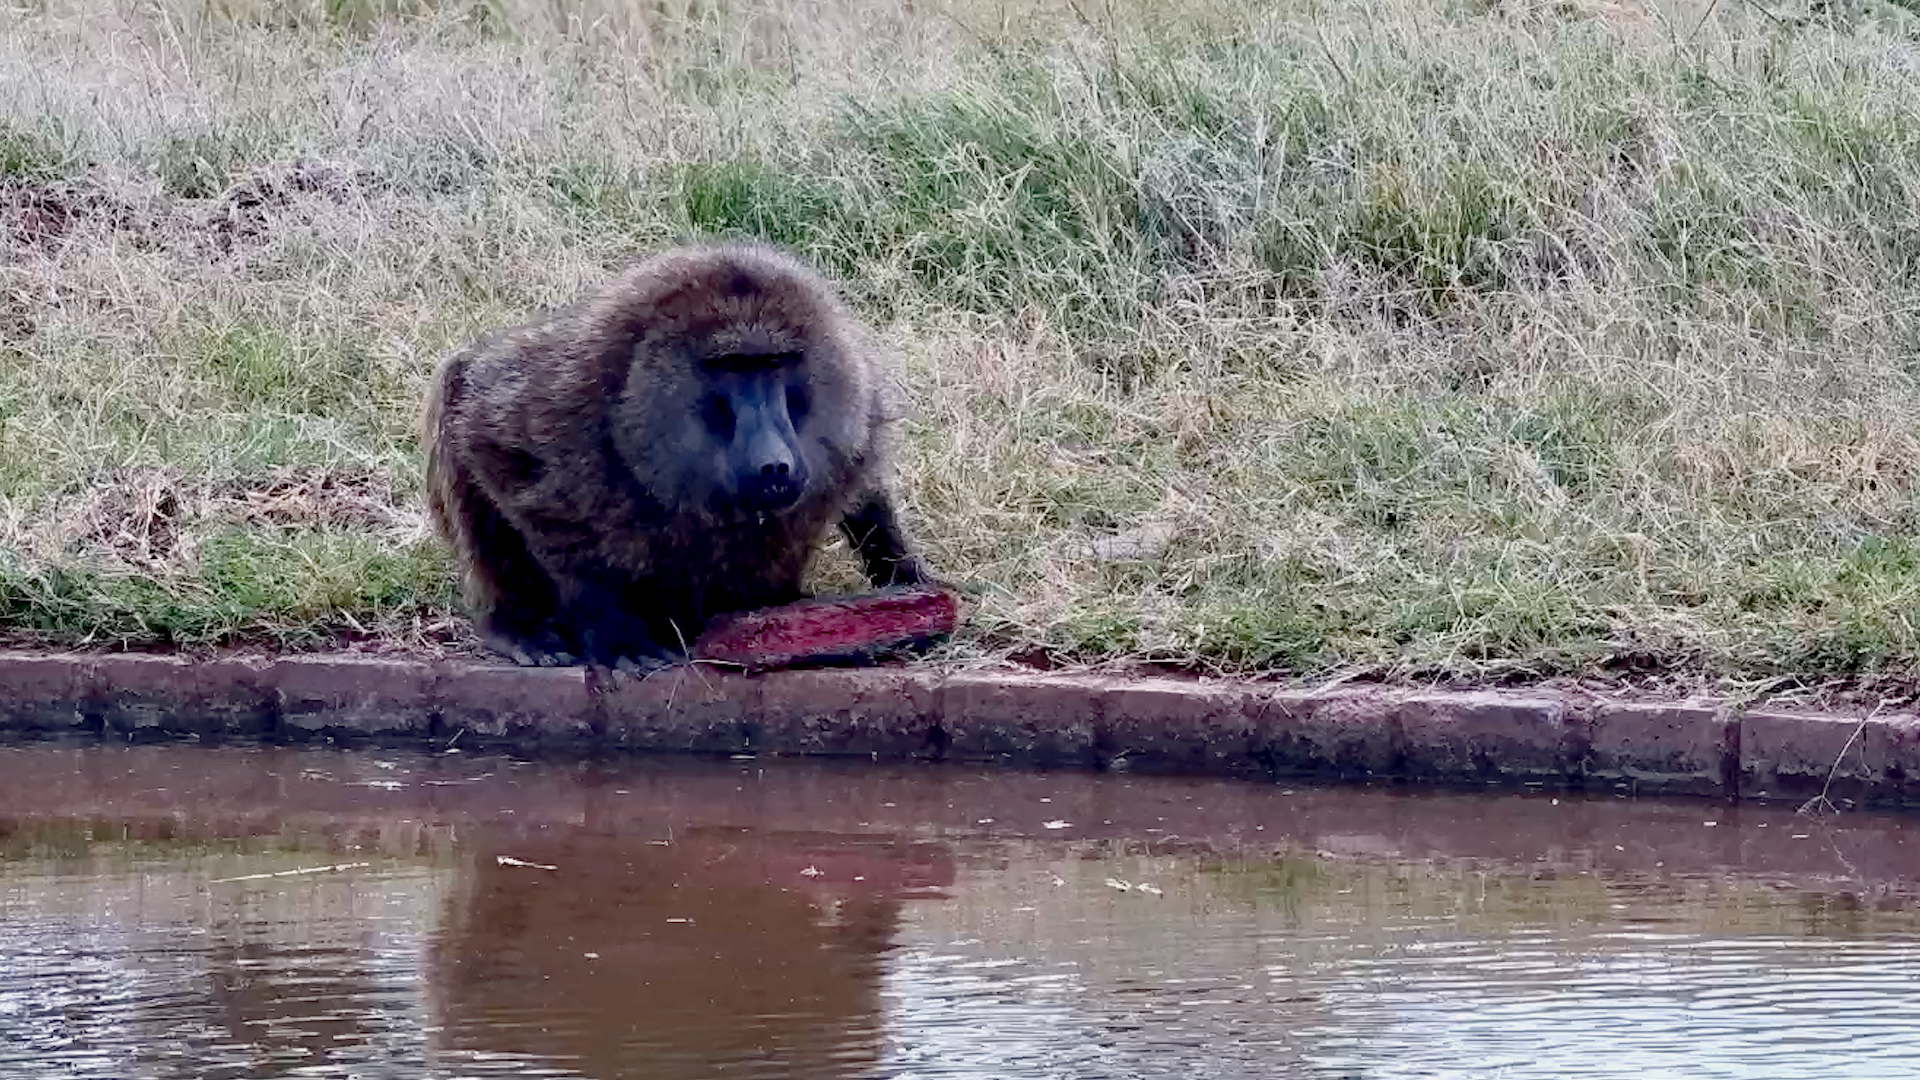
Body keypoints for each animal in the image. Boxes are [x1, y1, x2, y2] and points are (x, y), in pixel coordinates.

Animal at [422, 241, 933, 670]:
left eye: (775, 363)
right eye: (731, 367)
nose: (774, 463)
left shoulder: (856, 399)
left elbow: (866, 489)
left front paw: (905, 574)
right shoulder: (561, 395)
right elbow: (496, 450)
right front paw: (613, 632)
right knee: (454, 384)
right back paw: (515, 626)